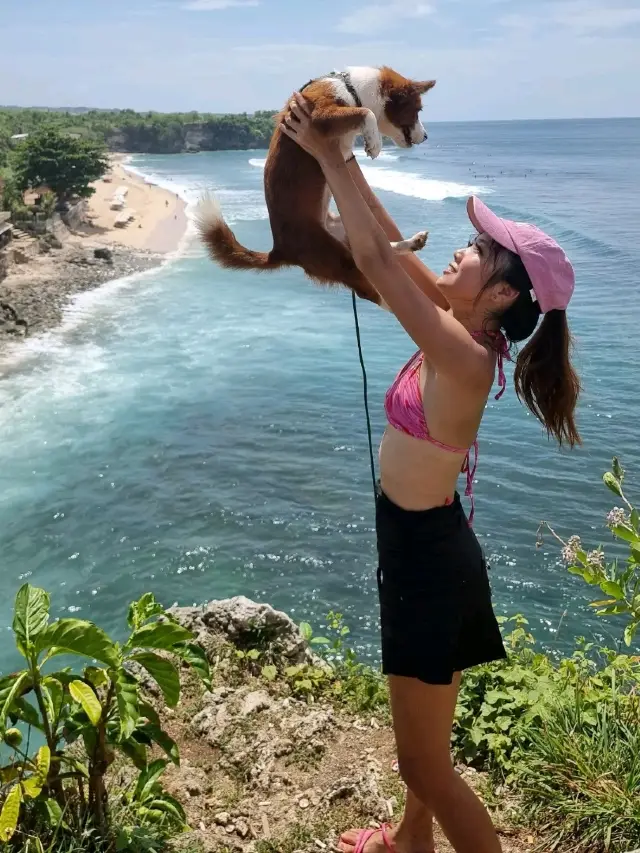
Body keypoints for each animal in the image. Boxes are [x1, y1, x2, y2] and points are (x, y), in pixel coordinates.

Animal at [195, 67, 436, 306]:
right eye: (417, 110)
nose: (426, 137)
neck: (352, 89)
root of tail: (280, 250)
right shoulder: (319, 115)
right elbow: (366, 112)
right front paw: (375, 142)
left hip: (344, 229)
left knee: (378, 251)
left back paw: (411, 243)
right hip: (335, 256)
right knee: (369, 287)